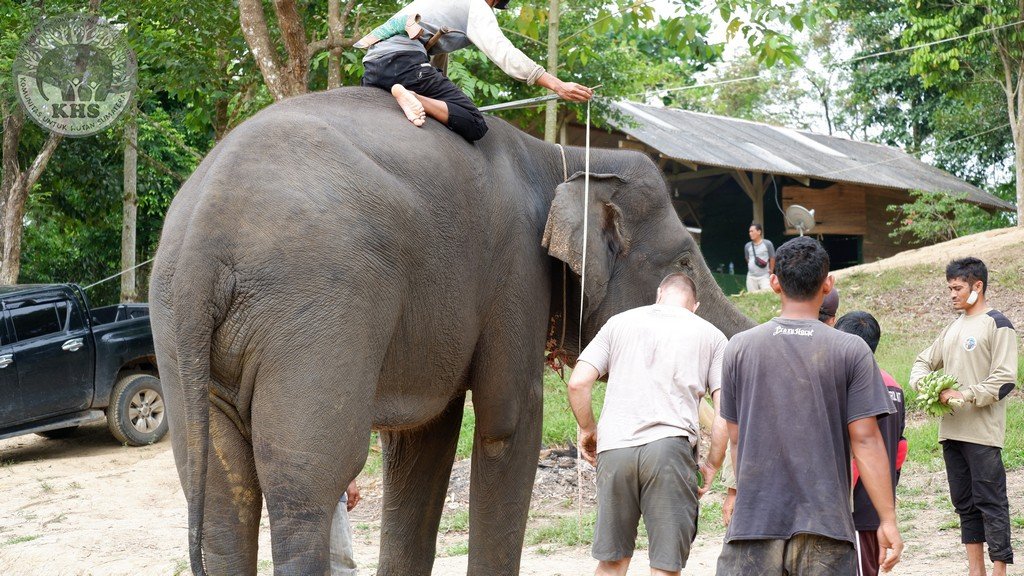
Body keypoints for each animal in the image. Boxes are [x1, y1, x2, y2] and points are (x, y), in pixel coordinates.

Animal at [149, 86, 754, 576]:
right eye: (684, 261)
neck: (563, 158)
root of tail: (204, 235)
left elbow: (421, 443)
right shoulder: (515, 275)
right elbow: (507, 425)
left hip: (179, 330)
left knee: (223, 488)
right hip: (316, 304)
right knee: (307, 482)